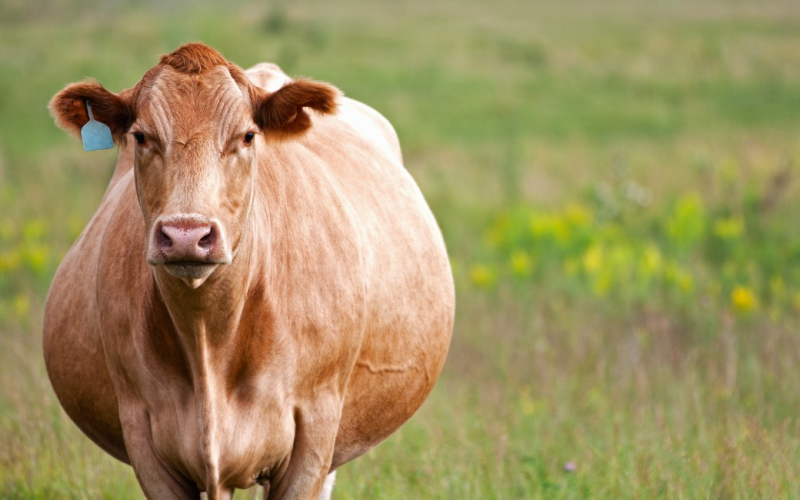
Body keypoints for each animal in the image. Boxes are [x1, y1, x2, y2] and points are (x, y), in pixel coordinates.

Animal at [44, 43, 454, 499]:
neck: (209, 336)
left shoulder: (315, 432)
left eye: (247, 136)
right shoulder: (143, 437)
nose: (186, 234)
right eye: (141, 136)